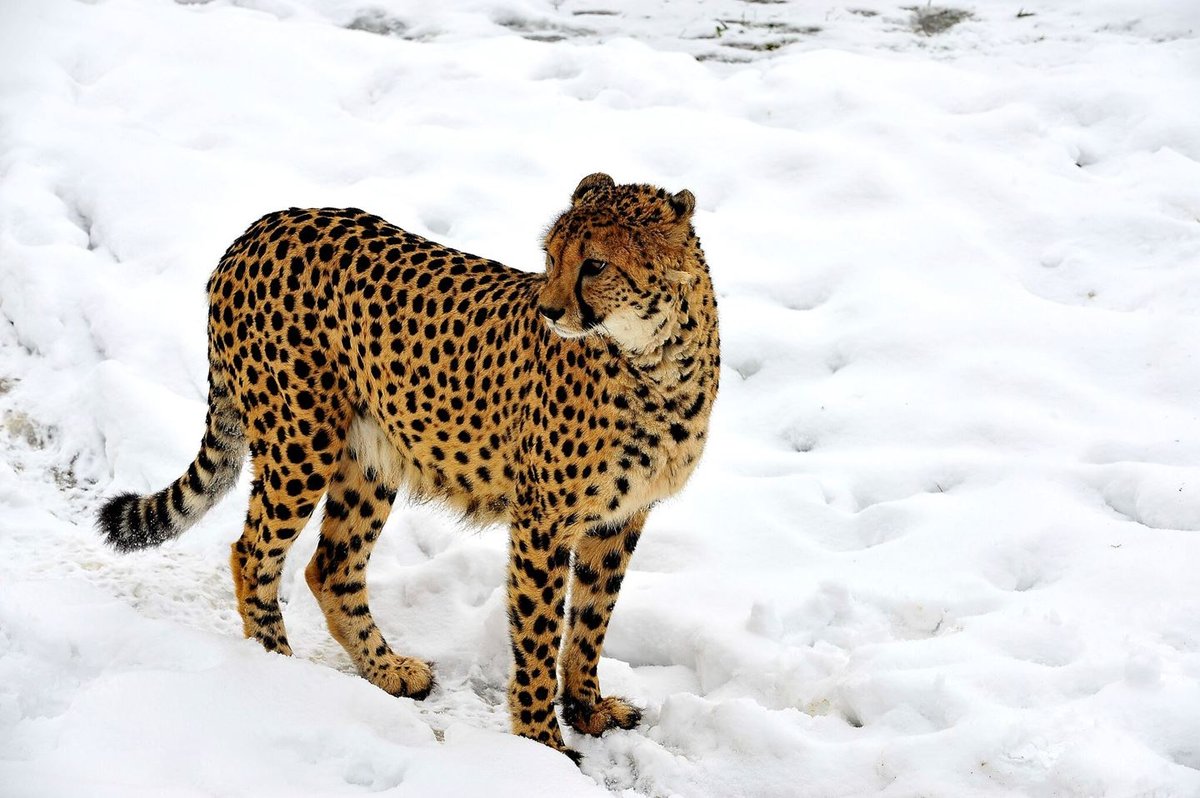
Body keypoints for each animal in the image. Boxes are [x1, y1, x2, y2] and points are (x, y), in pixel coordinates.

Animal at [98, 171, 715, 758]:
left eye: (595, 264)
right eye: (552, 256)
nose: (549, 309)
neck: (656, 361)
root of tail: (261, 228)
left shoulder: (622, 518)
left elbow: (590, 621)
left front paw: (588, 710)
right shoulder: (543, 522)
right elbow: (538, 633)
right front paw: (544, 744)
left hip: (370, 457)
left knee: (331, 566)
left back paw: (386, 670)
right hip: (302, 442)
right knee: (252, 553)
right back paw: (281, 672)